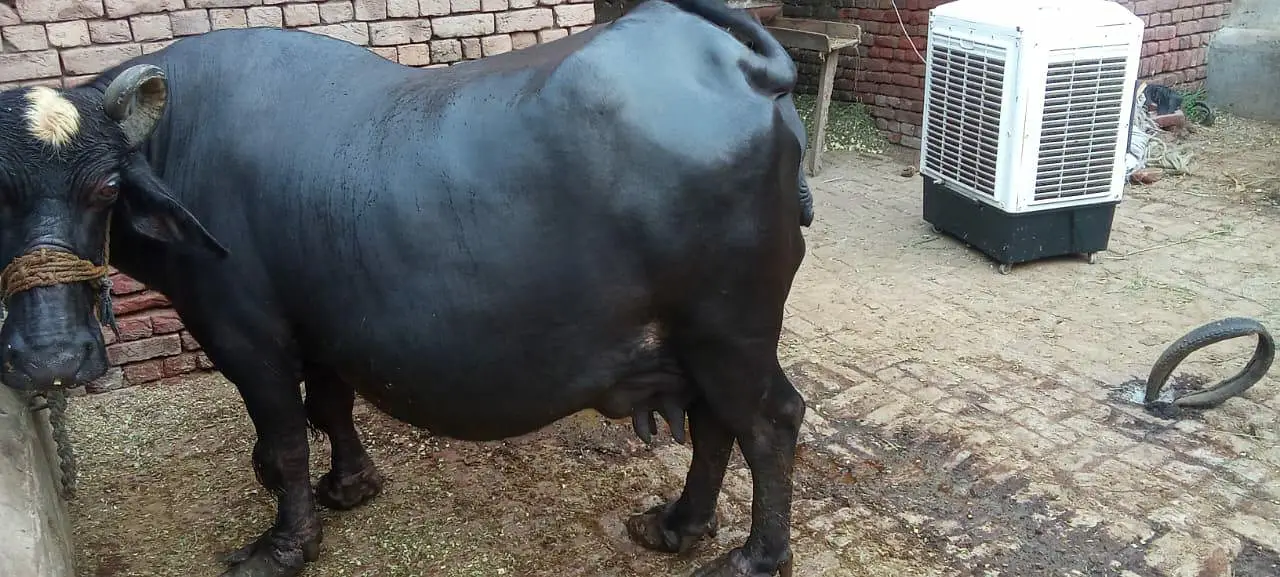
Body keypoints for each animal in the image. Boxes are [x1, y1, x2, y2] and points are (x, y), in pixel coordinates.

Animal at [0, 0, 813, 575]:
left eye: (106, 189)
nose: (50, 358)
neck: (179, 142)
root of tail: (741, 66)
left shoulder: (243, 334)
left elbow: (285, 437)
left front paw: (283, 544)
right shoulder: (319, 325)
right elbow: (328, 407)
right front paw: (349, 485)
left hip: (729, 328)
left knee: (769, 422)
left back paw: (752, 557)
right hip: (696, 338)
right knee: (715, 423)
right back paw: (676, 526)